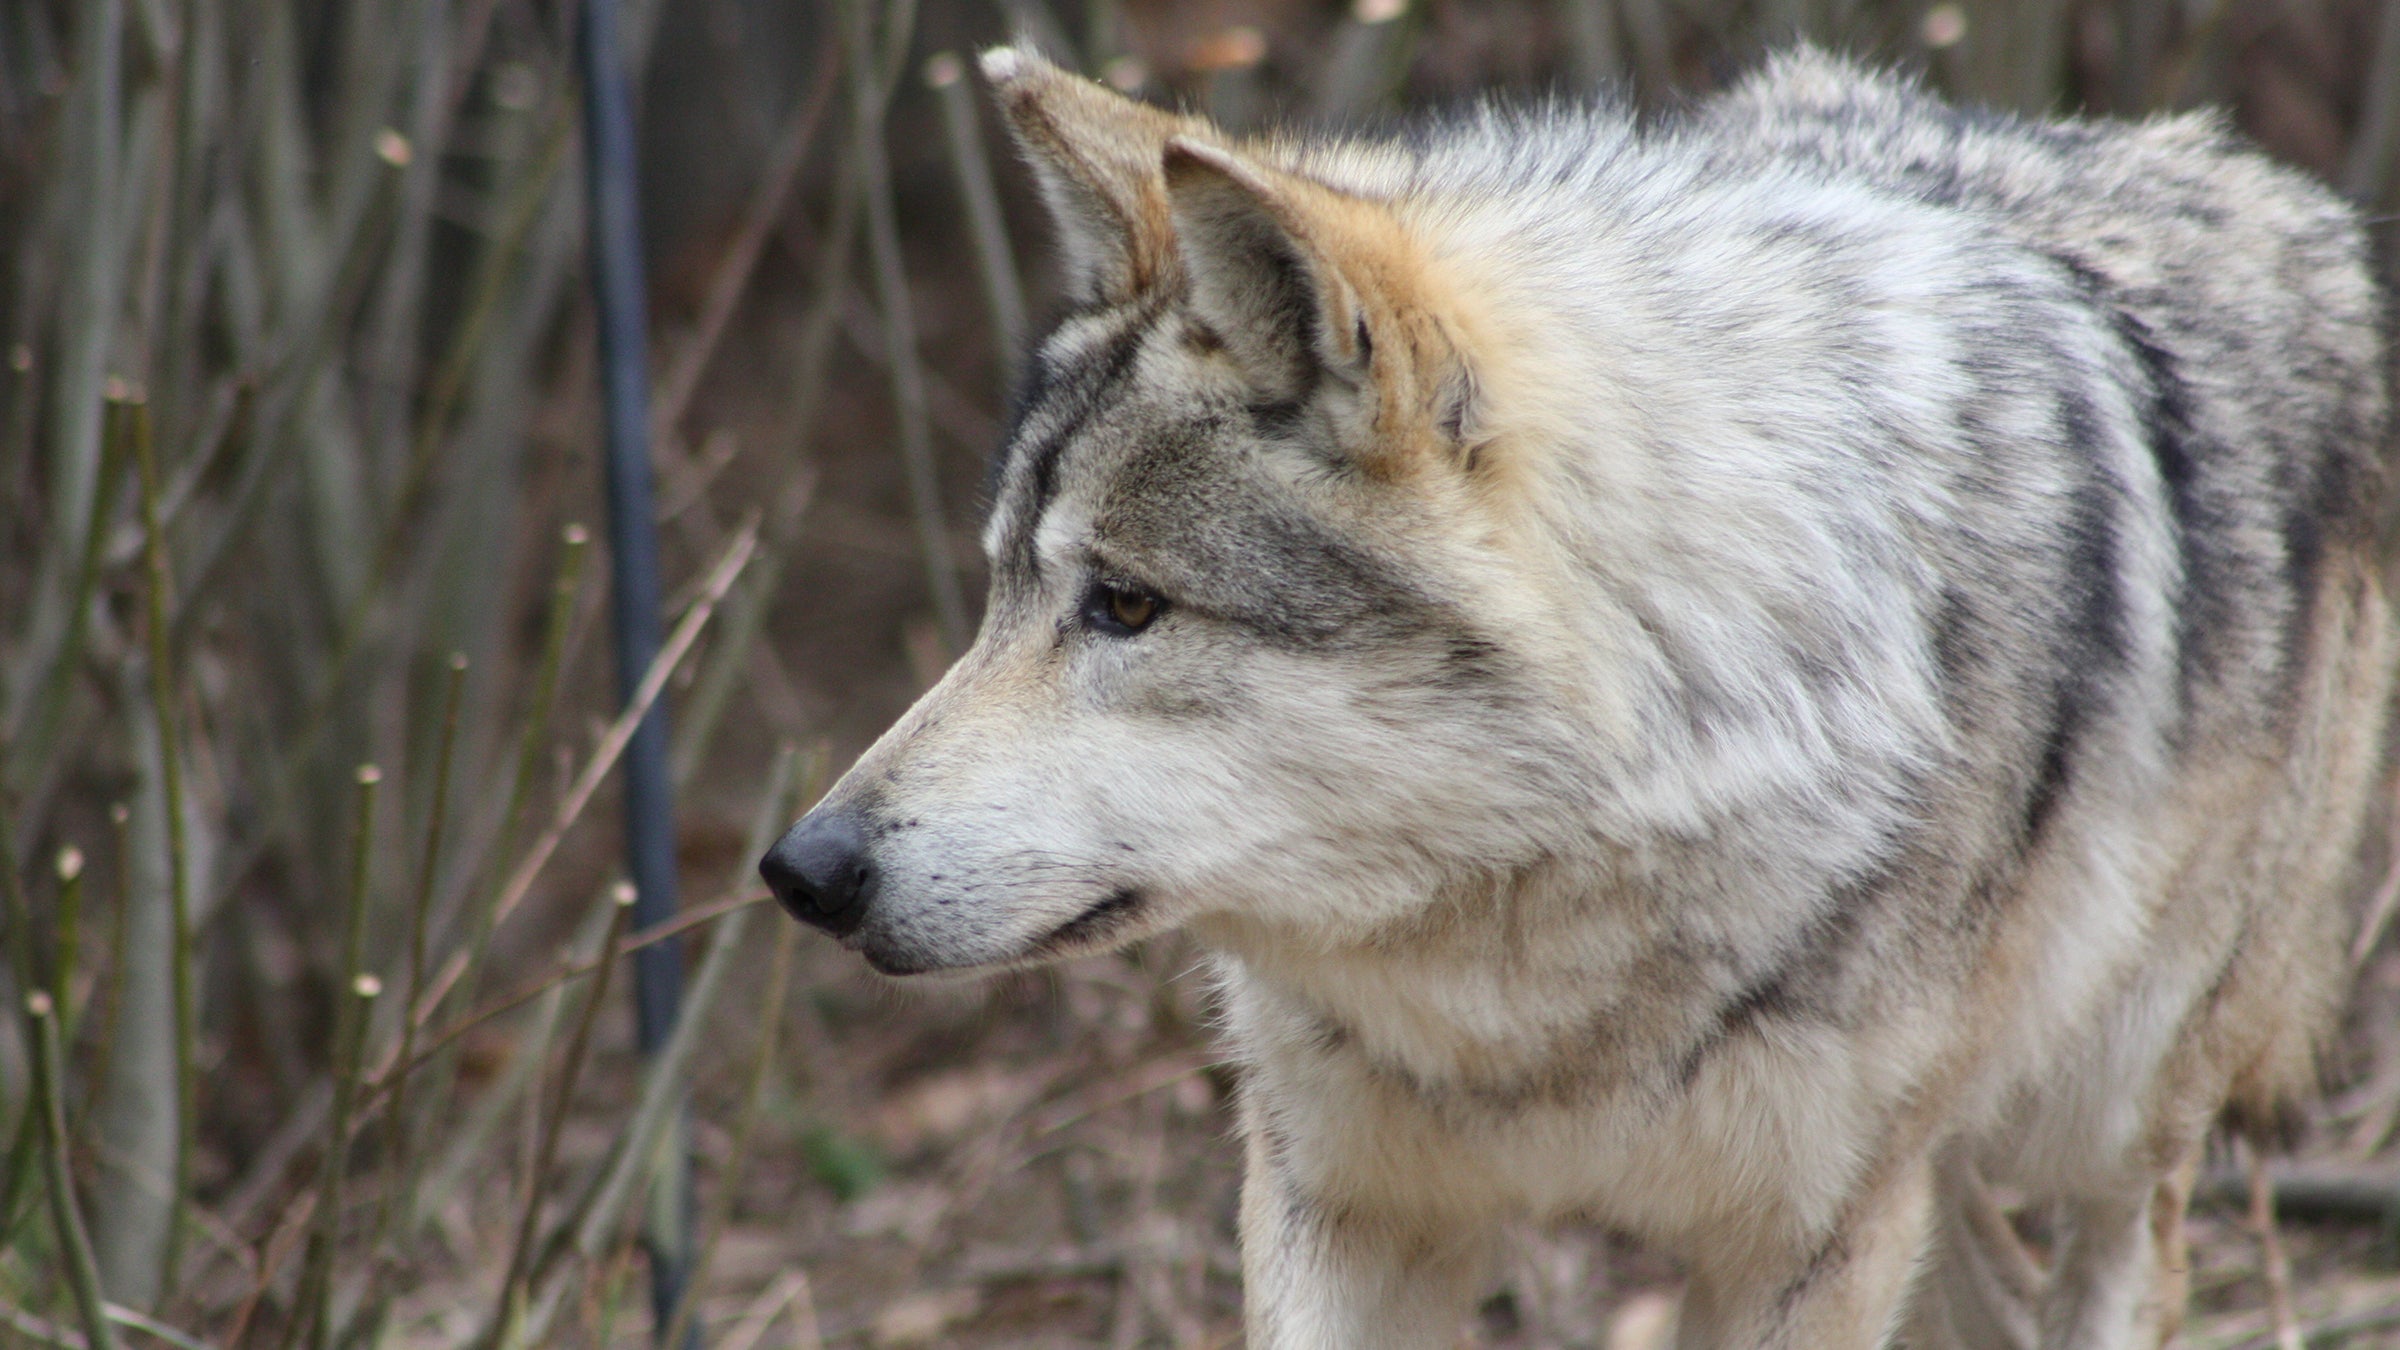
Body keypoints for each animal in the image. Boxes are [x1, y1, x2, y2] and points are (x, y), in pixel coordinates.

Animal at [760, 45, 2395, 1348]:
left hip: (2105, 1122)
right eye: (1000, 593)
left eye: (1127, 605)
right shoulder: (1340, 1209)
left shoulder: (1802, 1245)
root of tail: (2281, 196)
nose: (802, 872)